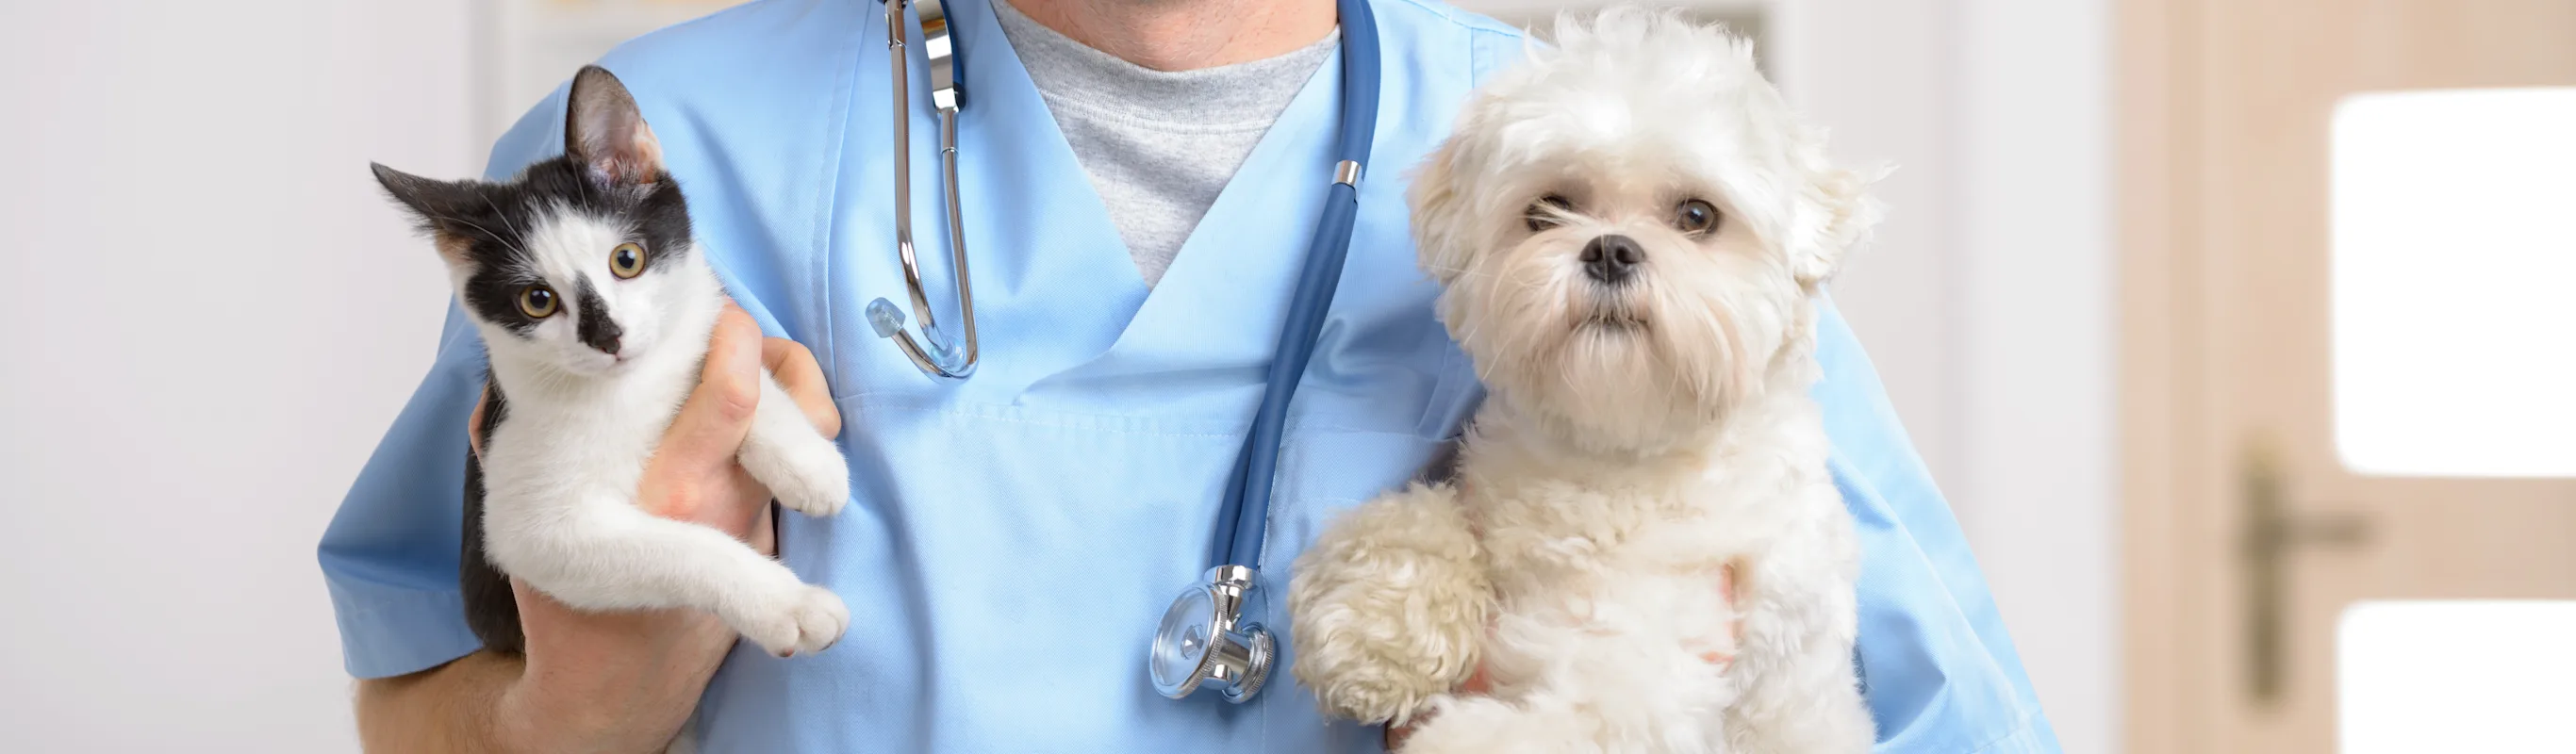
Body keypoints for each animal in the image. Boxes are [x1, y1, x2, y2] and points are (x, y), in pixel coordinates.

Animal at [375, 64, 855, 653]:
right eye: (537, 300)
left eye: (627, 260)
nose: (608, 337)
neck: (632, 385)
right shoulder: (531, 527)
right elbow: (680, 549)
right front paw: (787, 604)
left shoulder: (699, 319)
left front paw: (807, 462)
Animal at [1297, 8, 1885, 746]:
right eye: (1548, 208)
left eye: (1697, 215)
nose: (1610, 249)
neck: (1613, 459)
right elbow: (1411, 523)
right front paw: (1375, 633)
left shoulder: (1653, 667)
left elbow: (1571, 718)